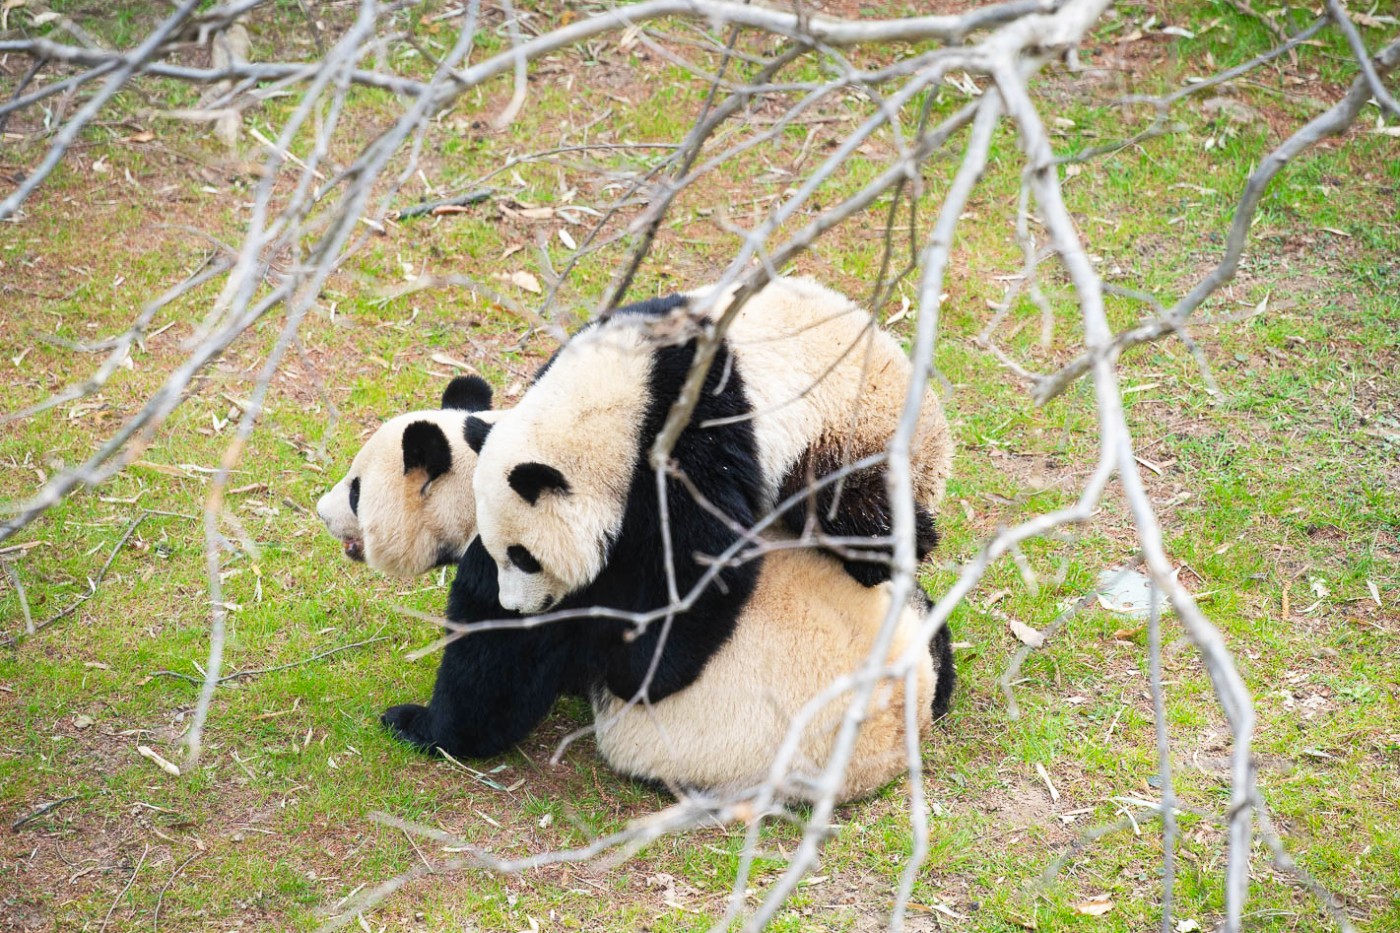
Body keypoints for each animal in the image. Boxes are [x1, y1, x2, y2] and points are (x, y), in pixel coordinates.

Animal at [316, 378, 952, 801]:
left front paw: (417, 724)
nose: (322, 513)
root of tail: (898, 736)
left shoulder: (531, 567)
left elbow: (493, 680)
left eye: (355, 489)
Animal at [467, 274, 952, 697]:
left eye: (524, 557)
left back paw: (875, 558)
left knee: (852, 511)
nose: (513, 608)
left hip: (849, 435)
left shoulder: (689, 433)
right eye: (496, 552)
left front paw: (640, 675)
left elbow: (702, 560)